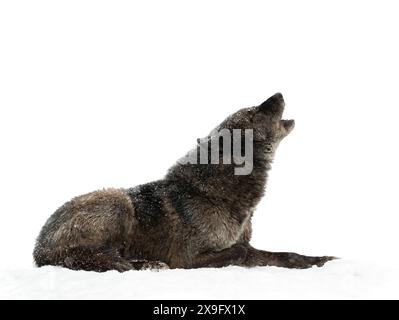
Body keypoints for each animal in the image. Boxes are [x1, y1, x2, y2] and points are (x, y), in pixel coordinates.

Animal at [33, 94, 334, 272]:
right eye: (253, 113)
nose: (278, 93)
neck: (216, 193)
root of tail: (38, 247)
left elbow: (285, 255)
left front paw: (322, 260)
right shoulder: (186, 258)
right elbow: (238, 252)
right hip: (117, 202)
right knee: (93, 258)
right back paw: (145, 264)